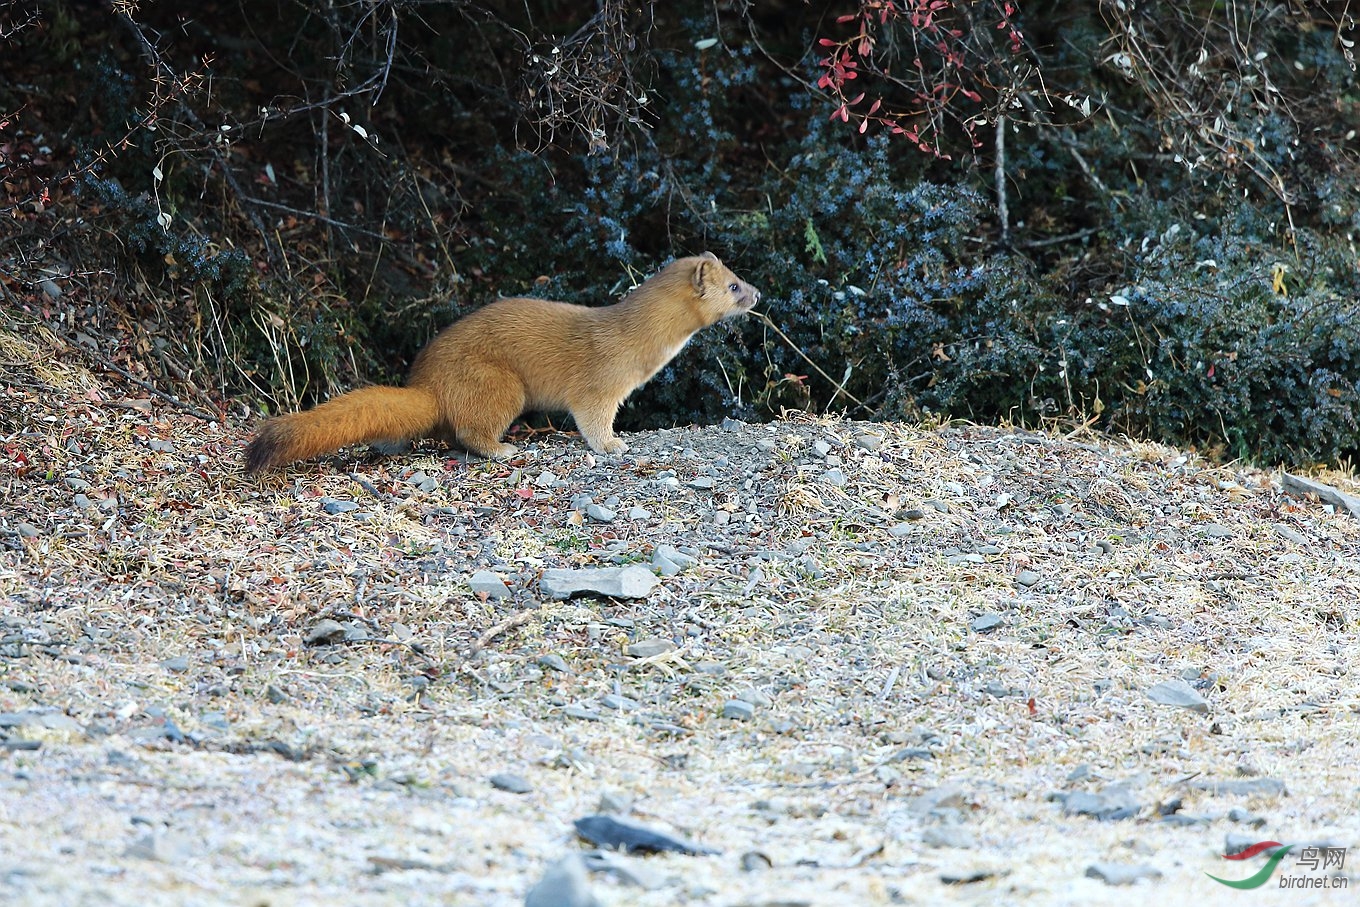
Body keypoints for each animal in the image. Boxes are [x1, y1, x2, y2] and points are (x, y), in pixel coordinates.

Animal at [242, 251, 756, 473]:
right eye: (733, 285)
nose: (758, 293)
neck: (637, 343)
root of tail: (427, 383)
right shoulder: (600, 385)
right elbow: (592, 419)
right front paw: (614, 444)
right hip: (500, 383)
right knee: (470, 431)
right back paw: (505, 449)